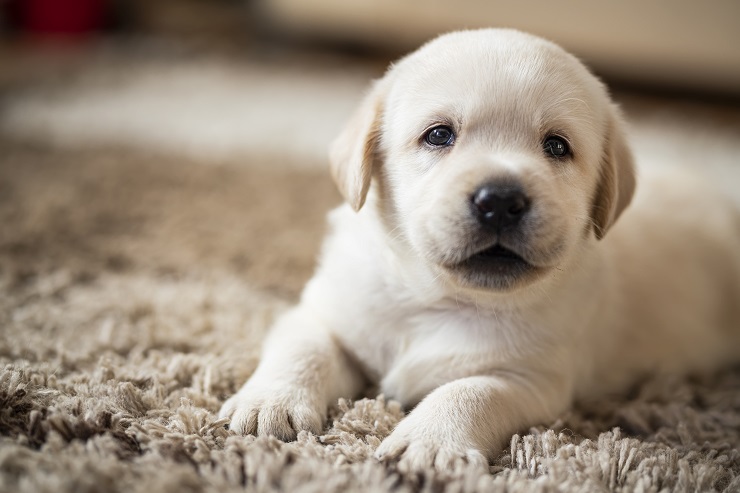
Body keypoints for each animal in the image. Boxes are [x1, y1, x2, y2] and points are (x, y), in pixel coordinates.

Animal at [220, 28, 740, 470]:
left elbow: (469, 392)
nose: (501, 201)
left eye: (557, 146)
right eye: (439, 134)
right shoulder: (325, 311)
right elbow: (304, 347)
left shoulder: (531, 380)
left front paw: (430, 441)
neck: (440, 298)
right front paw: (270, 403)